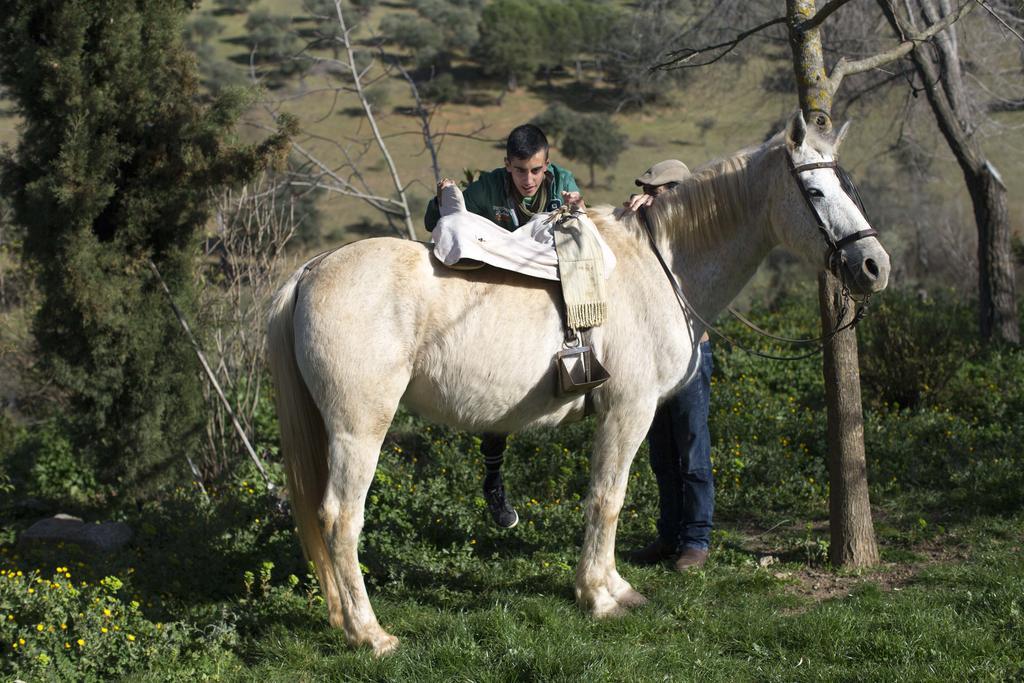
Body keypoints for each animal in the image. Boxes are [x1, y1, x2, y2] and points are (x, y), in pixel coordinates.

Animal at [266, 113, 888, 655]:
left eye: (849, 184)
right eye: (815, 192)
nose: (874, 266)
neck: (659, 266)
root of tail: (311, 271)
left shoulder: (644, 412)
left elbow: (626, 491)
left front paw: (615, 587)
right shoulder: (627, 410)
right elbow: (607, 499)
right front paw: (599, 596)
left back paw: (343, 620)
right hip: (358, 429)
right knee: (339, 518)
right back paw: (370, 634)